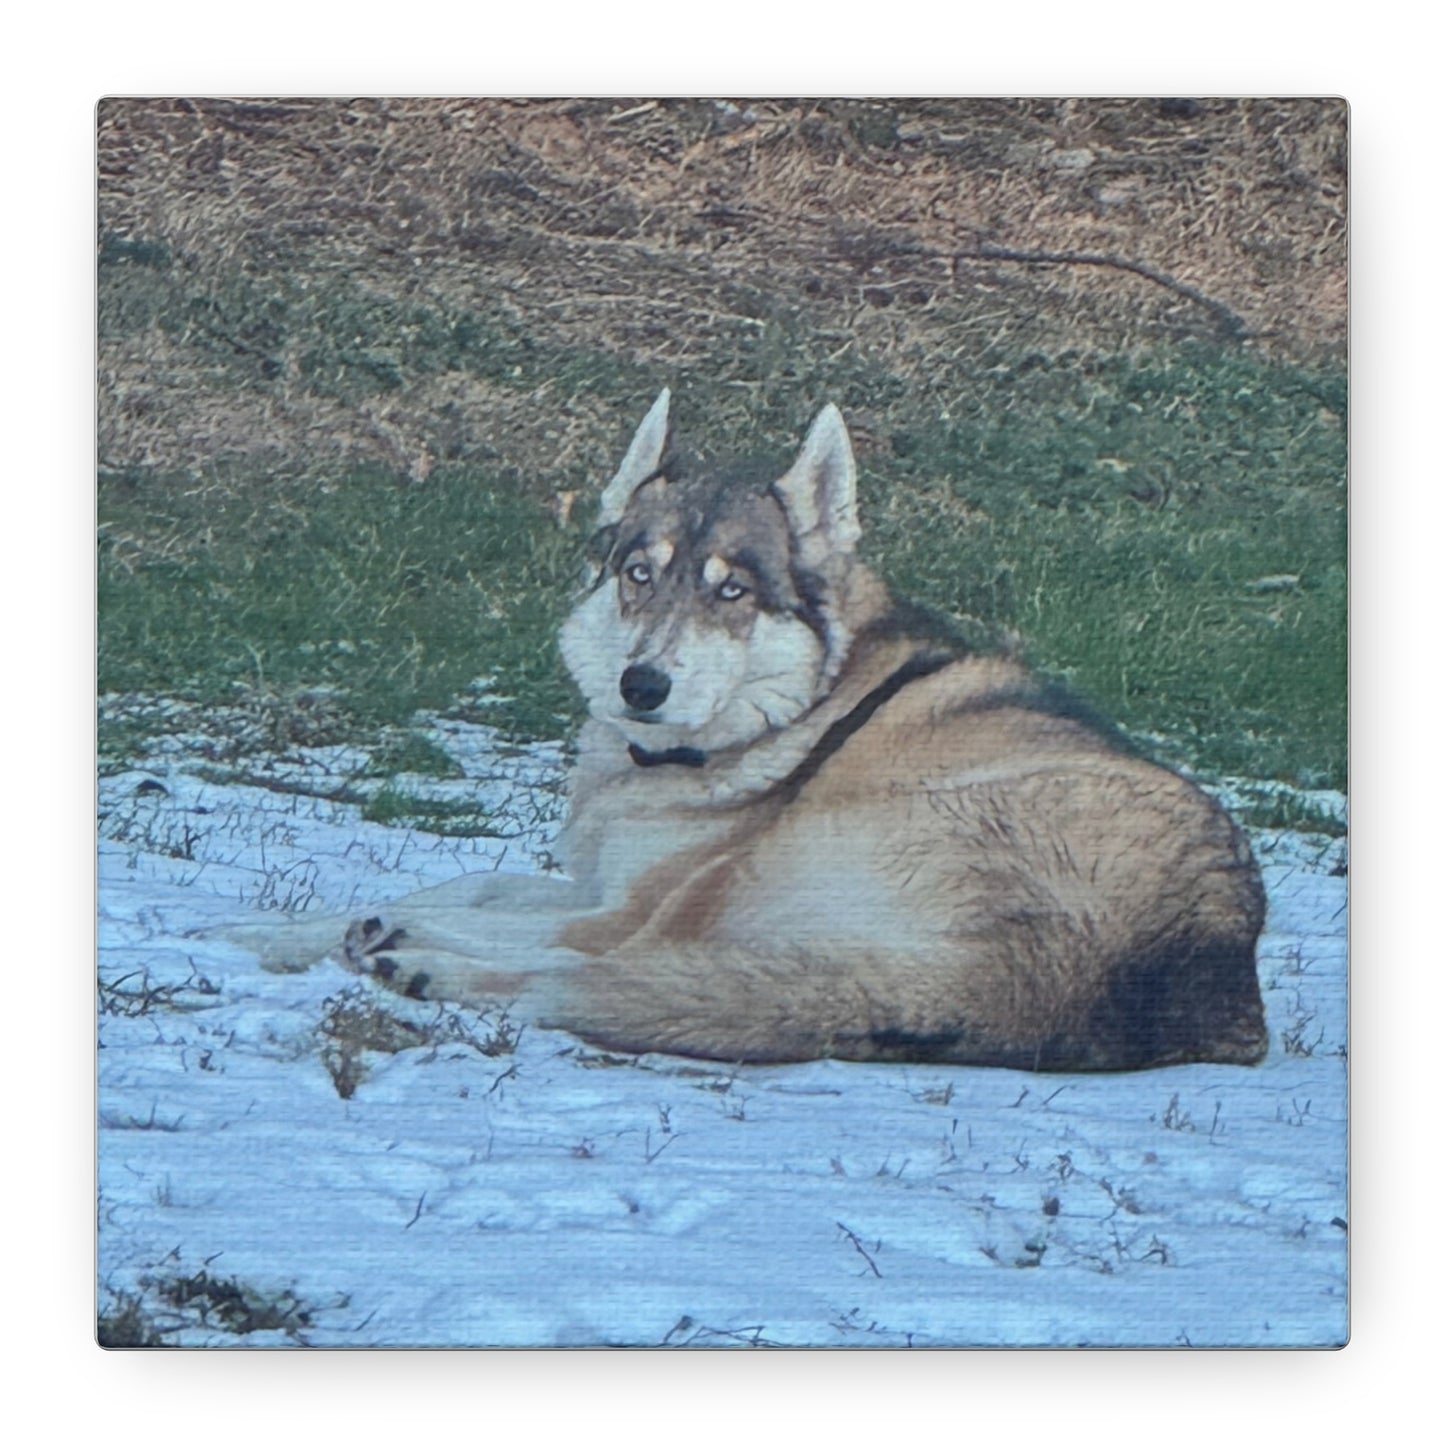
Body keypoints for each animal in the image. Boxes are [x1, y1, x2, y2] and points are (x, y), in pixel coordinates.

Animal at [228, 390, 1267, 1070]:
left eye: (731, 591)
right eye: (639, 573)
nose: (641, 683)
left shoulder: (629, 901)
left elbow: (472, 907)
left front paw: (366, 928)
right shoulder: (601, 878)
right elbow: (467, 880)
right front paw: (251, 929)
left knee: (595, 968)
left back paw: (418, 963)